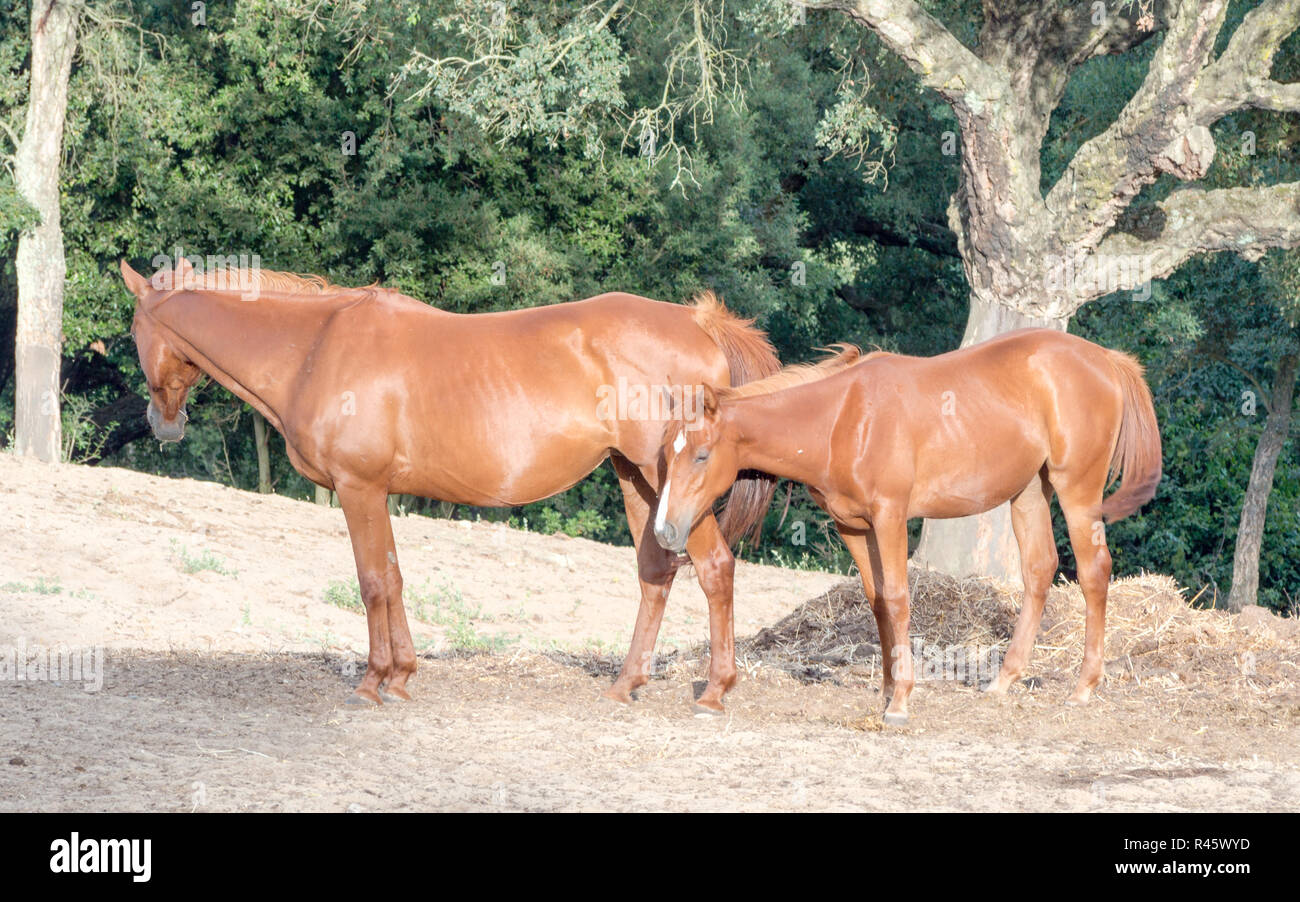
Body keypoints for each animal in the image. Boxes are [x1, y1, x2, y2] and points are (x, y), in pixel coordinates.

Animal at [116, 261, 774, 712]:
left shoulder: (357, 489)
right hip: (639, 479)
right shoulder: (377, 493)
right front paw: (402, 677)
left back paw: (715, 691)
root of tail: (698, 322)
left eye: (135, 332)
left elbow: (373, 583)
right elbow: (394, 578)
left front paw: (373, 682)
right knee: (656, 574)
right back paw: (625, 683)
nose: (162, 424)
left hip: (673, 486)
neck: (317, 346)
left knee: (715, 568)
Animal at [655, 330, 1164, 727]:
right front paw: (886, 687)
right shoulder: (852, 527)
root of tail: (1106, 359)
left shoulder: (891, 518)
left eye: (701, 455)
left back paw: (1084, 686)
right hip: (1029, 492)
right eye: (666, 453)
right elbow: (878, 599)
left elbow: (899, 599)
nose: (664, 531)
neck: (843, 419)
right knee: (1039, 570)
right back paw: (1004, 679)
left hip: (1077, 492)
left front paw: (900, 700)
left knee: (1093, 572)